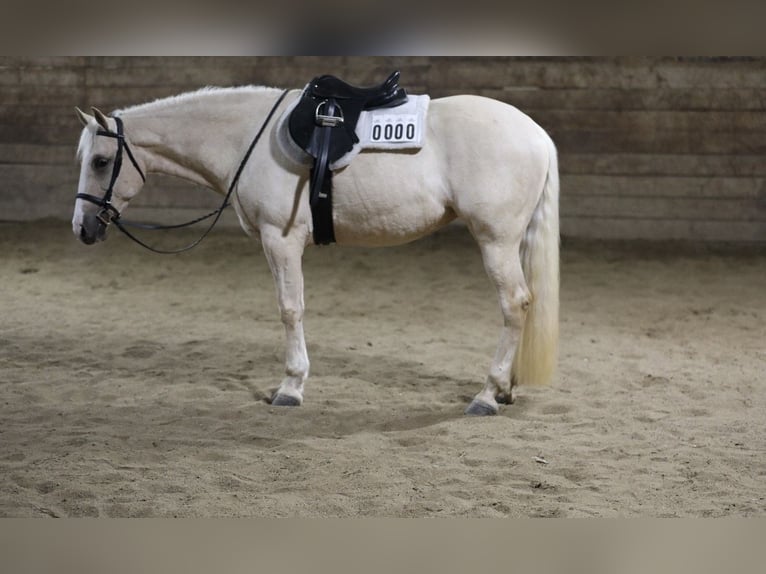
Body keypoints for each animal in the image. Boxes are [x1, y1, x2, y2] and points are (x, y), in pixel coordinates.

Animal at [72, 84, 560, 418]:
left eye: (100, 161)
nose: (82, 228)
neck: (246, 139)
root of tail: (537, 133)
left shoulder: (280, 239)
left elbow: (290, 309)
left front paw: (290, 387)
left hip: (495, 241)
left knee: (515, 304)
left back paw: (487, 394)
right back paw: (505, 388)